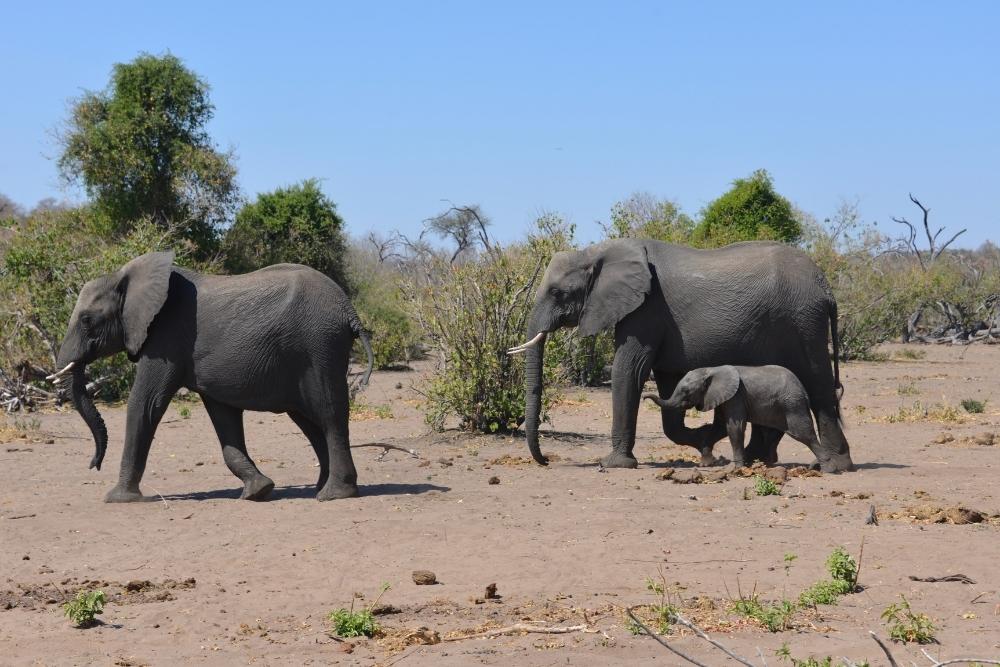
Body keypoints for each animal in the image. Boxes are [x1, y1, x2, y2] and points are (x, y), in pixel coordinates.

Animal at [49, 253, 376, 504]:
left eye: (87, 320)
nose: (93, 465)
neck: (125, 277)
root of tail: (349, 311)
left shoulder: (165, 338)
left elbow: (146, 404)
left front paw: (117, 499)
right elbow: (223, 417)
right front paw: (258, 491)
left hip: (319, 345)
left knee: (329, 414)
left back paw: (333, 494)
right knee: (309, 421)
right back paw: (323, 487)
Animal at [640, 366, 820, 470]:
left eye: (686, 392)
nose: (643, 397)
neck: (710, 370)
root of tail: (803, 390)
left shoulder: (736, 396)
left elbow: (734, 427)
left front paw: (737, 469)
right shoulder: (722, 397)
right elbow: (719, 428)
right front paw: (707, 463)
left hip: (792, 404)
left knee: (802, 433)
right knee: (774, 433)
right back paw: (768, 463)